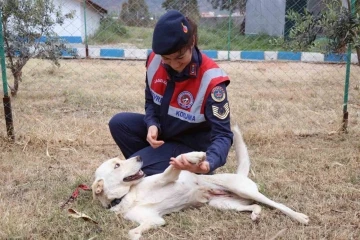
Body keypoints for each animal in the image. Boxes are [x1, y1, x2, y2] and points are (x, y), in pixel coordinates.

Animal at [91, 124, 308, 239]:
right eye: (117, 165)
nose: (139, 158)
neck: (128, 195)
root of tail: (241, 176)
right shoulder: (154, 219)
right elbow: (132, 233)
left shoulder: (167, 177)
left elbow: (175, 164)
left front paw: (195, 157)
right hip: (222, 204)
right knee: (255, 206)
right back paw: (255, 215)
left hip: (244, 190)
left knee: (277, 204)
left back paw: (299, 217)